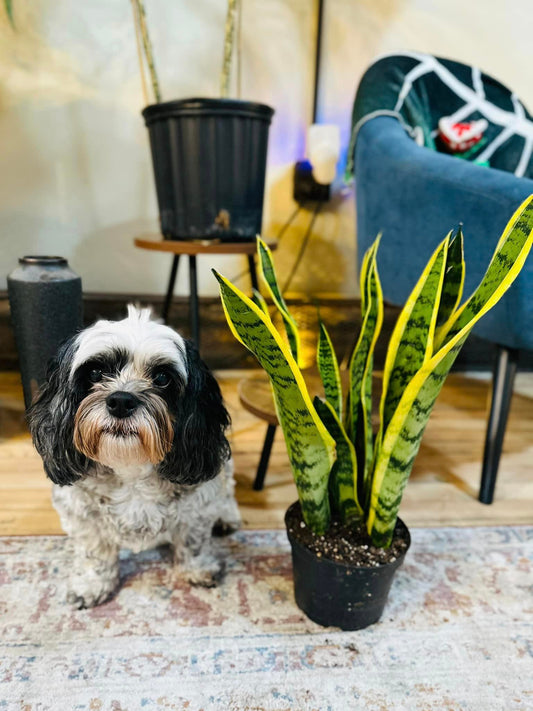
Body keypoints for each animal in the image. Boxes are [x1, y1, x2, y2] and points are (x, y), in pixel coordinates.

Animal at [27, 304, 239, 608]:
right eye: (95, 372)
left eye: (162, 378)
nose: (121, 401)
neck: (130, 467)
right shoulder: (82, 515)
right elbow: (94, 553)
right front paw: (92, 584)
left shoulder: (199, 504)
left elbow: (193, 542)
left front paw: (196, 569)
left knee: (229, 489)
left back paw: (227, 516)